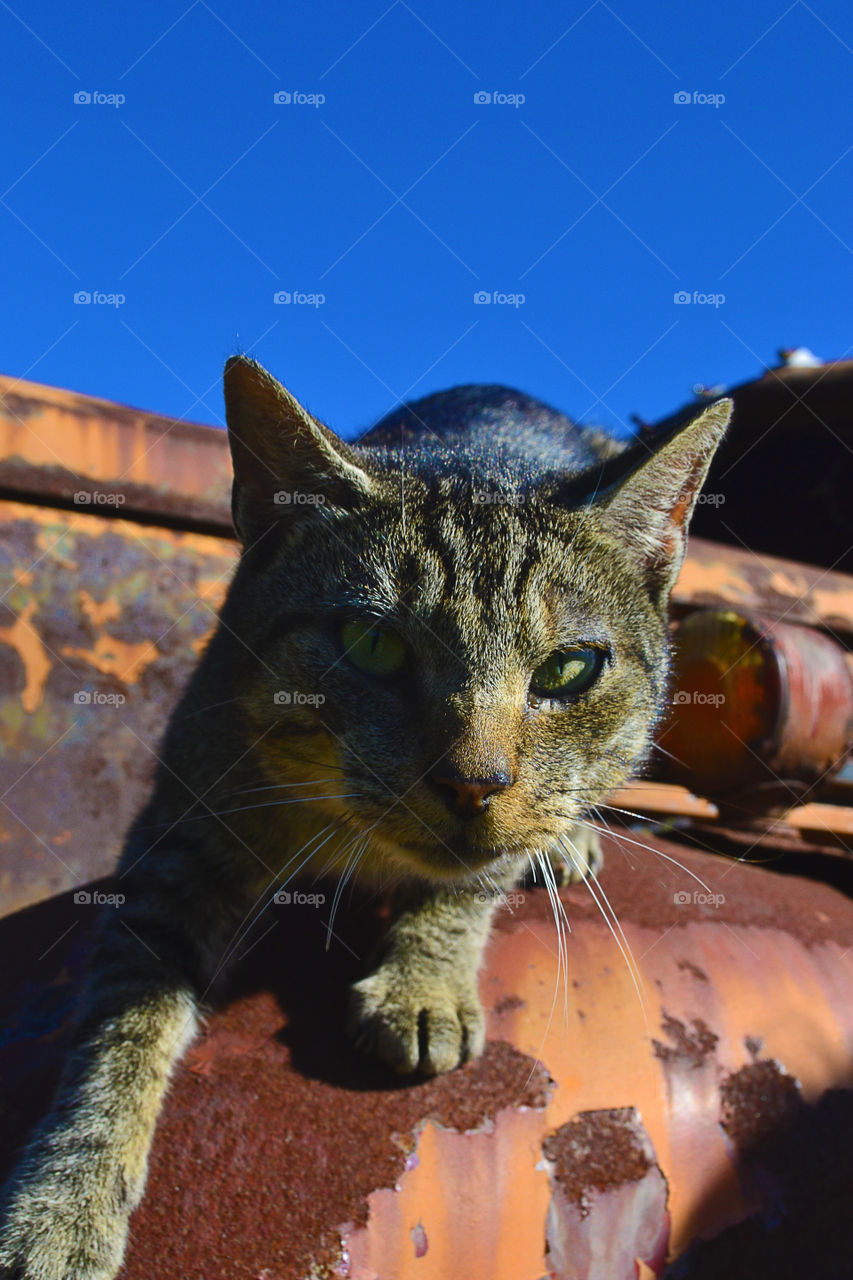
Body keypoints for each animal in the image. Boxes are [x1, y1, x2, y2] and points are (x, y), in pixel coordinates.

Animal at [0, 355, 732, 1274]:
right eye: (373, 645)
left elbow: (467, 889)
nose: (473, 783)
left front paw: (424, 984)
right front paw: (64, 1204)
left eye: (569, 669)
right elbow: (121, 1028)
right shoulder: (181, 835)